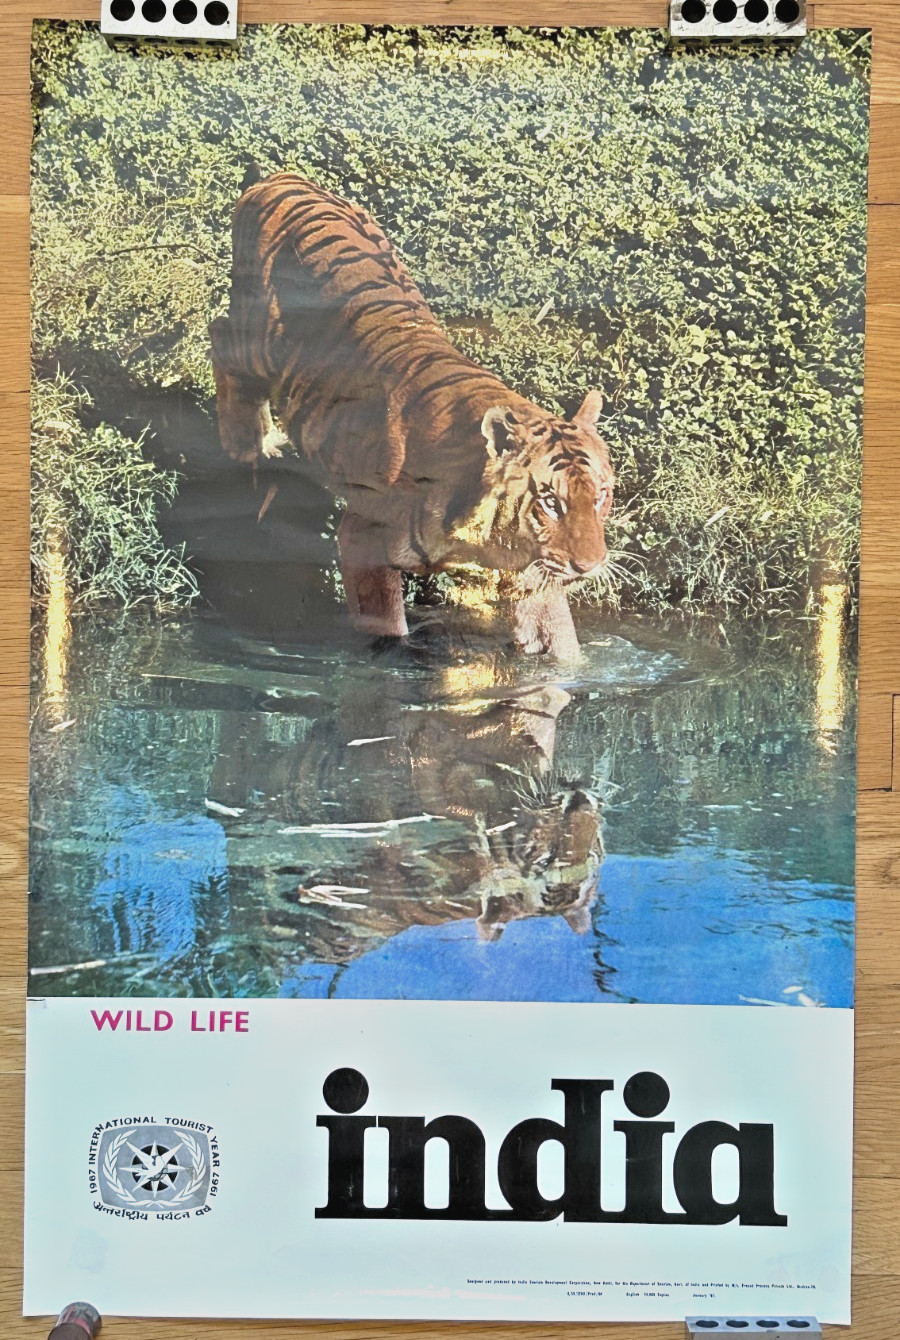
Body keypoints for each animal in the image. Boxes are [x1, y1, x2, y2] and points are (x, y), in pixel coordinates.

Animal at [210, 167, 616, 658]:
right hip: (258, 340)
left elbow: (559, 650)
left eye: (601, 495)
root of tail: (283, 178)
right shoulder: (364, 539)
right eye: (551, 502)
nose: (589, 566)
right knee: (219, 338)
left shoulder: (534, 575)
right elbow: (388, 629)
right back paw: (250, 444)